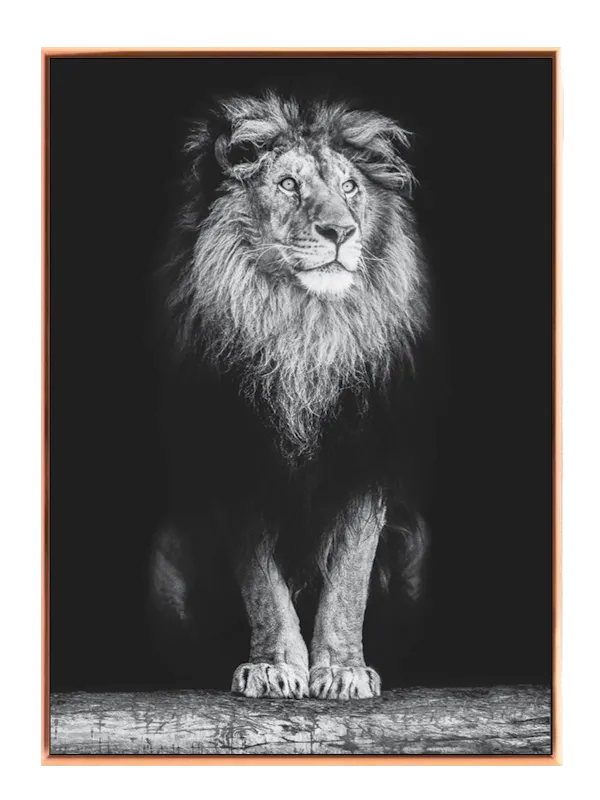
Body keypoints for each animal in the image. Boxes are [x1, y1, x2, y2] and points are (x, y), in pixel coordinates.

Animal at [149, 92, 431, 700]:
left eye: (350, 186)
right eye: (286, 184)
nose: (340, 231)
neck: (303, 329)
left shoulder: (366, 457)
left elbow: (350, 575)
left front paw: (343, 670)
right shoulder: (238, 457)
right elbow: (261, 582)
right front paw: (274, 666)